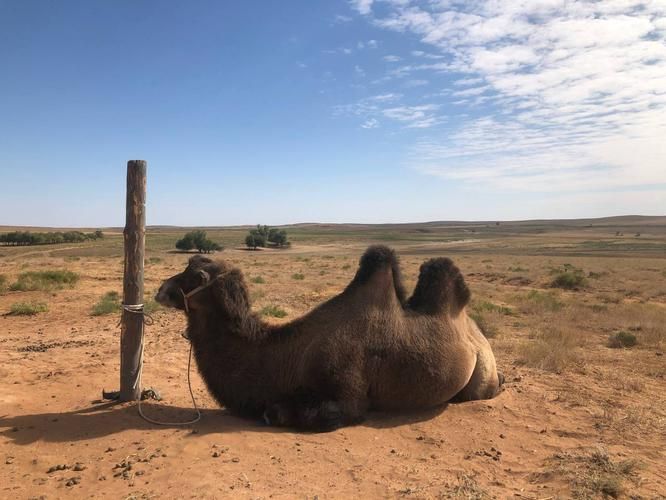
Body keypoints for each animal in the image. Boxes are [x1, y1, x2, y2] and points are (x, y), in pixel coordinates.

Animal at [153, 245, 500, 430]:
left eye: (193, 276)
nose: (160, 289)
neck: (291, 356)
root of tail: (476, 332)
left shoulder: (348, 396)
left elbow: (277, 413)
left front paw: (278, 411)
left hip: (483, 375)